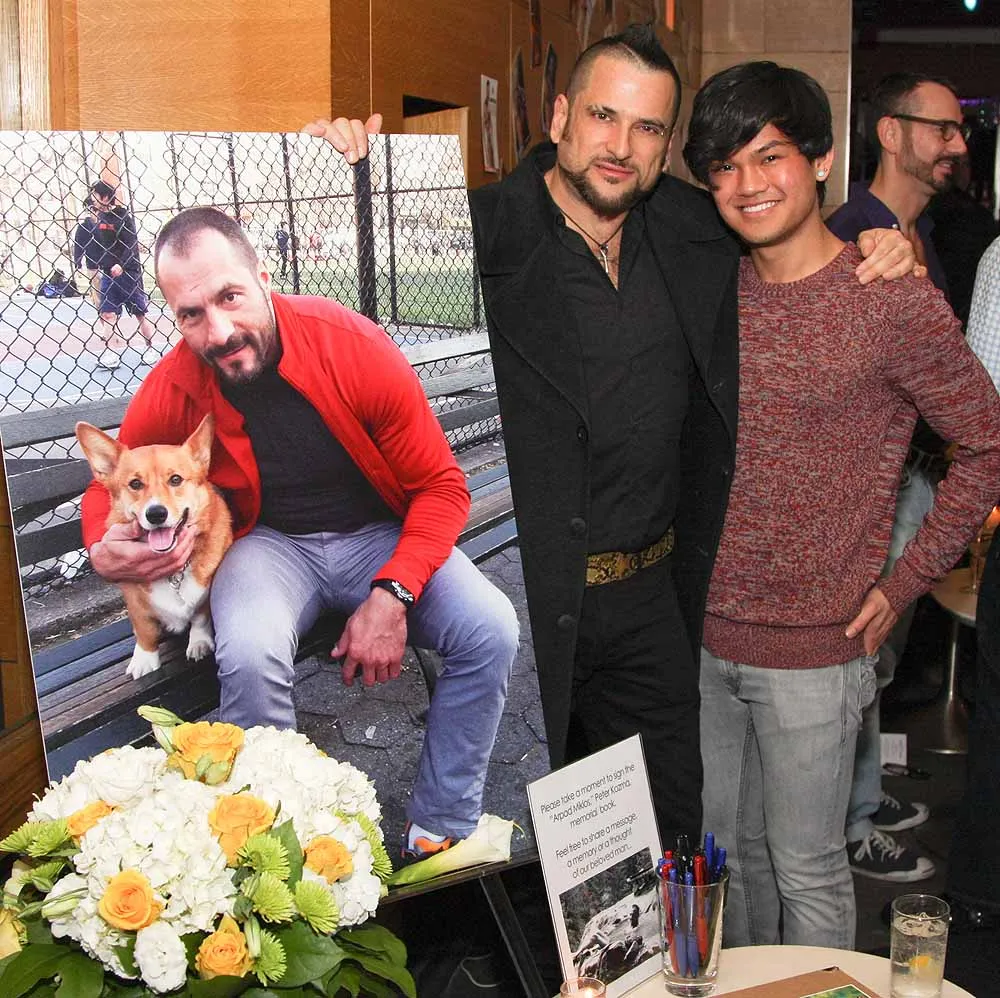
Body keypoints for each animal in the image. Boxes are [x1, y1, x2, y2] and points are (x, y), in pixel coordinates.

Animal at [75, 414, 233, 679]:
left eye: (176, 479)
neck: (175, 575)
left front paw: (199, 642)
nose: (156, 513)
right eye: (135, 484)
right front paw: (145, 659)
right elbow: (144, 629)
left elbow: (200, 617)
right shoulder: (134, 602)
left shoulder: (205, 595)